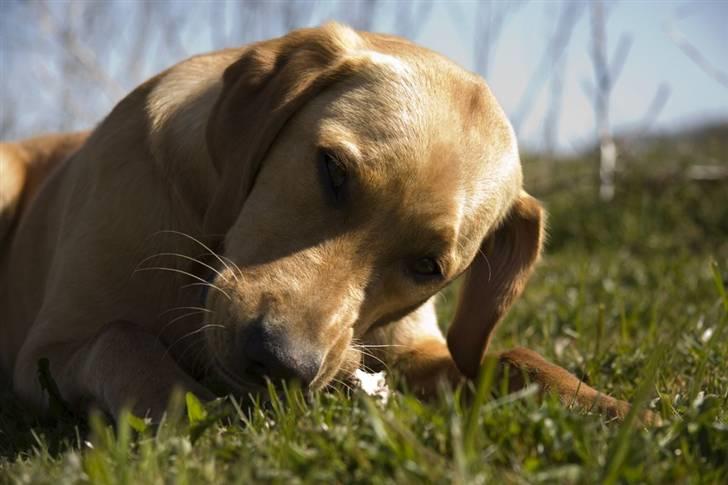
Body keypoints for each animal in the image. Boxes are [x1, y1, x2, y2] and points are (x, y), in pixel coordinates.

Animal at [1, 23, 632, 420]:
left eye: (427, 266)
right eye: (332, 170)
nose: (279, 363)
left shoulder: (417, 350)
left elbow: (515, 357)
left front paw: (618, 413)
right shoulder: (43, 354)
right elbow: (122, 338)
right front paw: (184, 409)